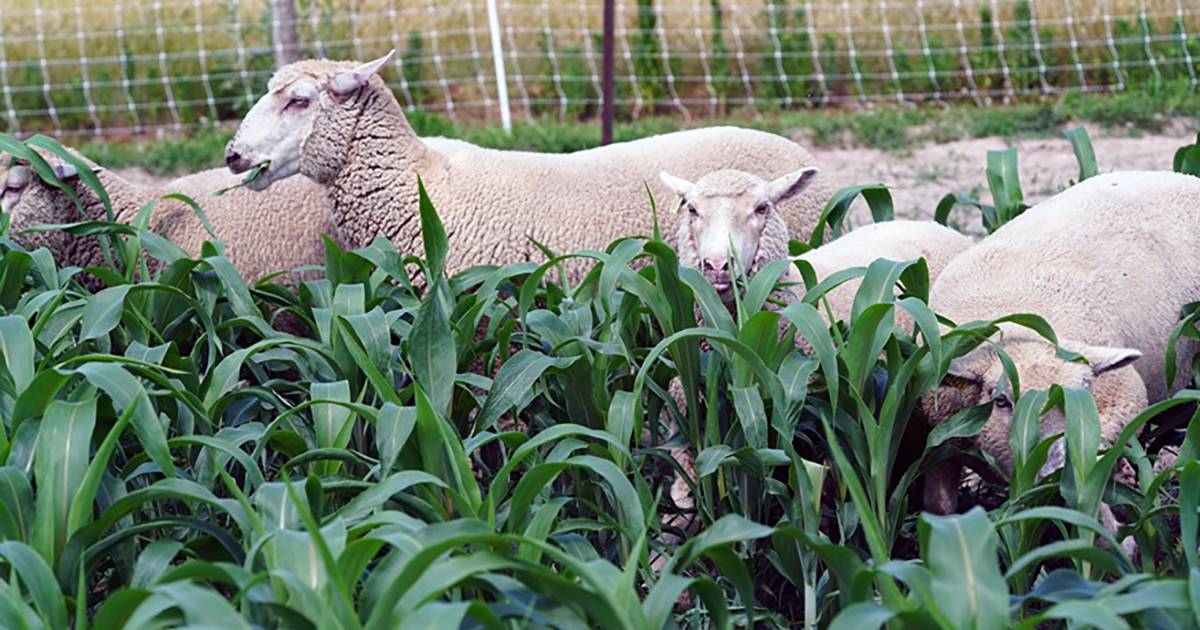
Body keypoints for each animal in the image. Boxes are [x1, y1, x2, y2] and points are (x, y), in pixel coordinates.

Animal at [916, 170, 1200, 516]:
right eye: (1001, 401)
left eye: (1083, 394)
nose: (1055, 472)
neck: (1023, 331)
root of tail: (1179, 175)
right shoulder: (941, 435)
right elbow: (939, 505)